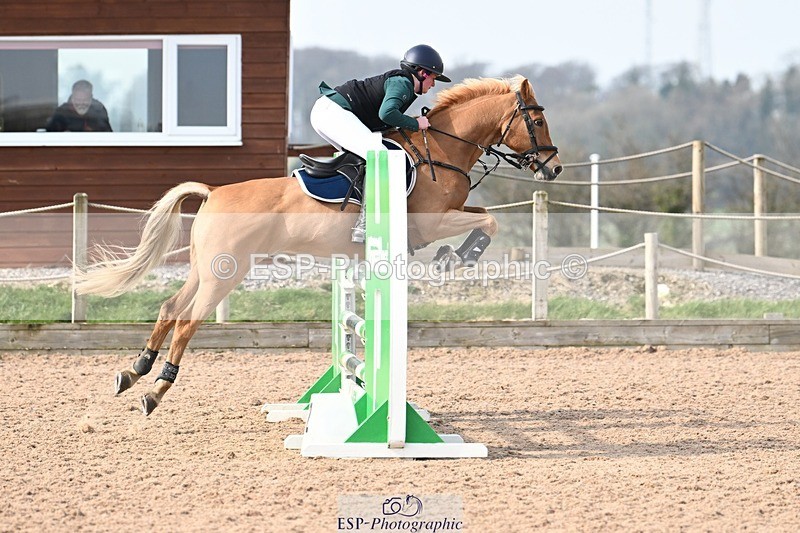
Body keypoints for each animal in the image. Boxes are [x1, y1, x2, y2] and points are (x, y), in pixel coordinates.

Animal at [75, 75, 562, 415]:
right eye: (537, 121)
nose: (553, 168)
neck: (438, 150)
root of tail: (213, 192)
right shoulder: (431, 222)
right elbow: (491, 221)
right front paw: (455, 257)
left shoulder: (450, 213)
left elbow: (486, 216)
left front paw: (455, 256)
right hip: (225, 273)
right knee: (187, 321)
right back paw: (156, 390)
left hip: (205, 268)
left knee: (170, 308)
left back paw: (133, 372)